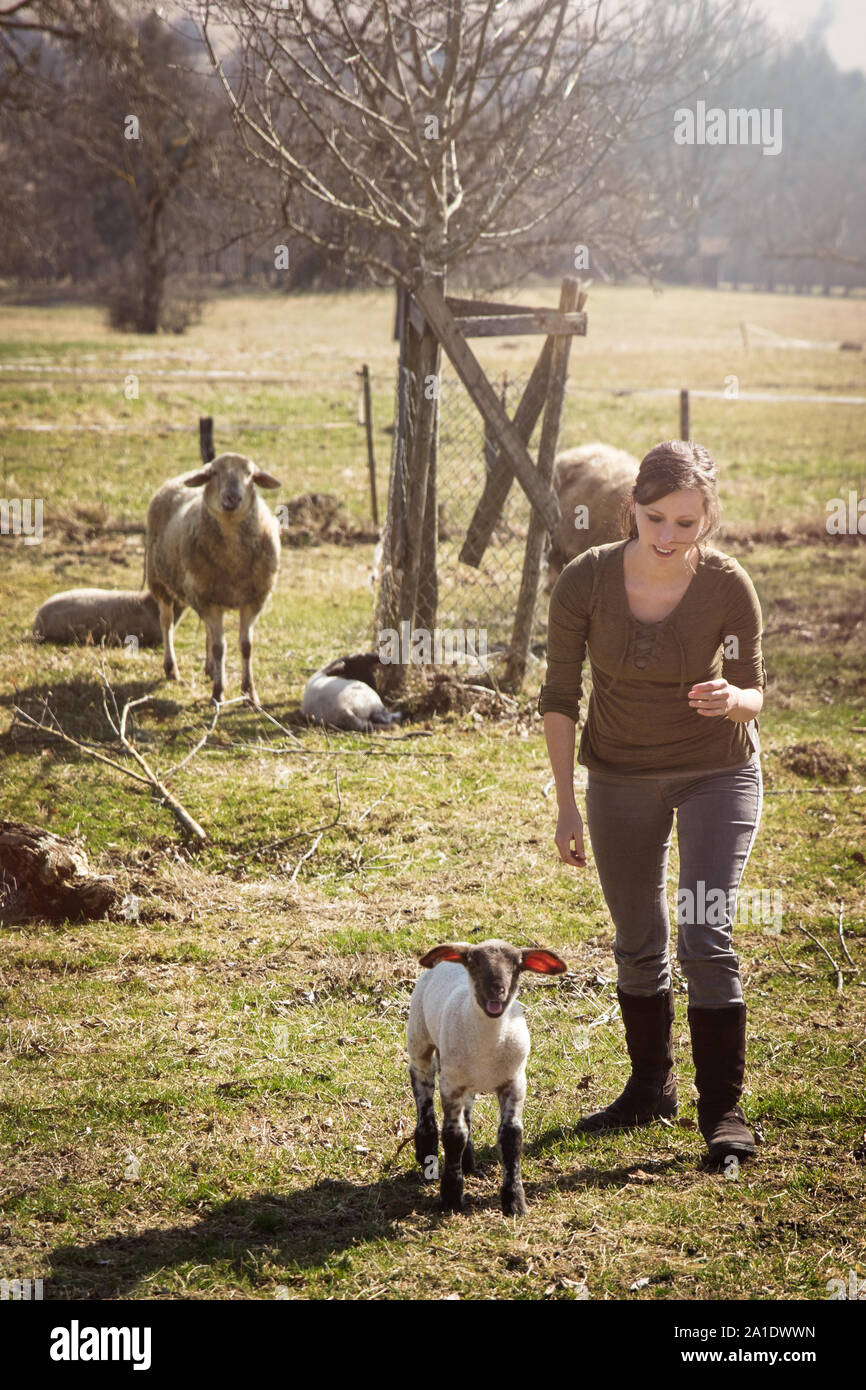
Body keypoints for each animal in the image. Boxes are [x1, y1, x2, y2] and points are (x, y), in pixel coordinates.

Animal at [144, 450, 280, 700]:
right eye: (214, 473)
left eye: (250, 474)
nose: (232, 498)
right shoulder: (207, 600)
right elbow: (220, 648)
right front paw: (218, 693)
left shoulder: (253, 600)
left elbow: (246, 646)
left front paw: (249, 693)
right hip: (160, 582)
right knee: (166, 623)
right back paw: (172, 668)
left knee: (207, 630)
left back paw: (210, 669)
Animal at [408, 934, 567, 1217]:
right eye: (473, 963)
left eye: (517, 965)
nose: (496, 991)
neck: (488, 1043)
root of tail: (458, 946)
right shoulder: (451, 1084)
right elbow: (453, 1136)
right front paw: (451, 1196)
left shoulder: (515, 1082)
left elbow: (511, 1137)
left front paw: (514, 1201)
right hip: (419, 1038)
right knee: (422, 1088)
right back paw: (426, 1148)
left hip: (466, 1078)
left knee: (467, 1110)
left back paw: (468, 1161)